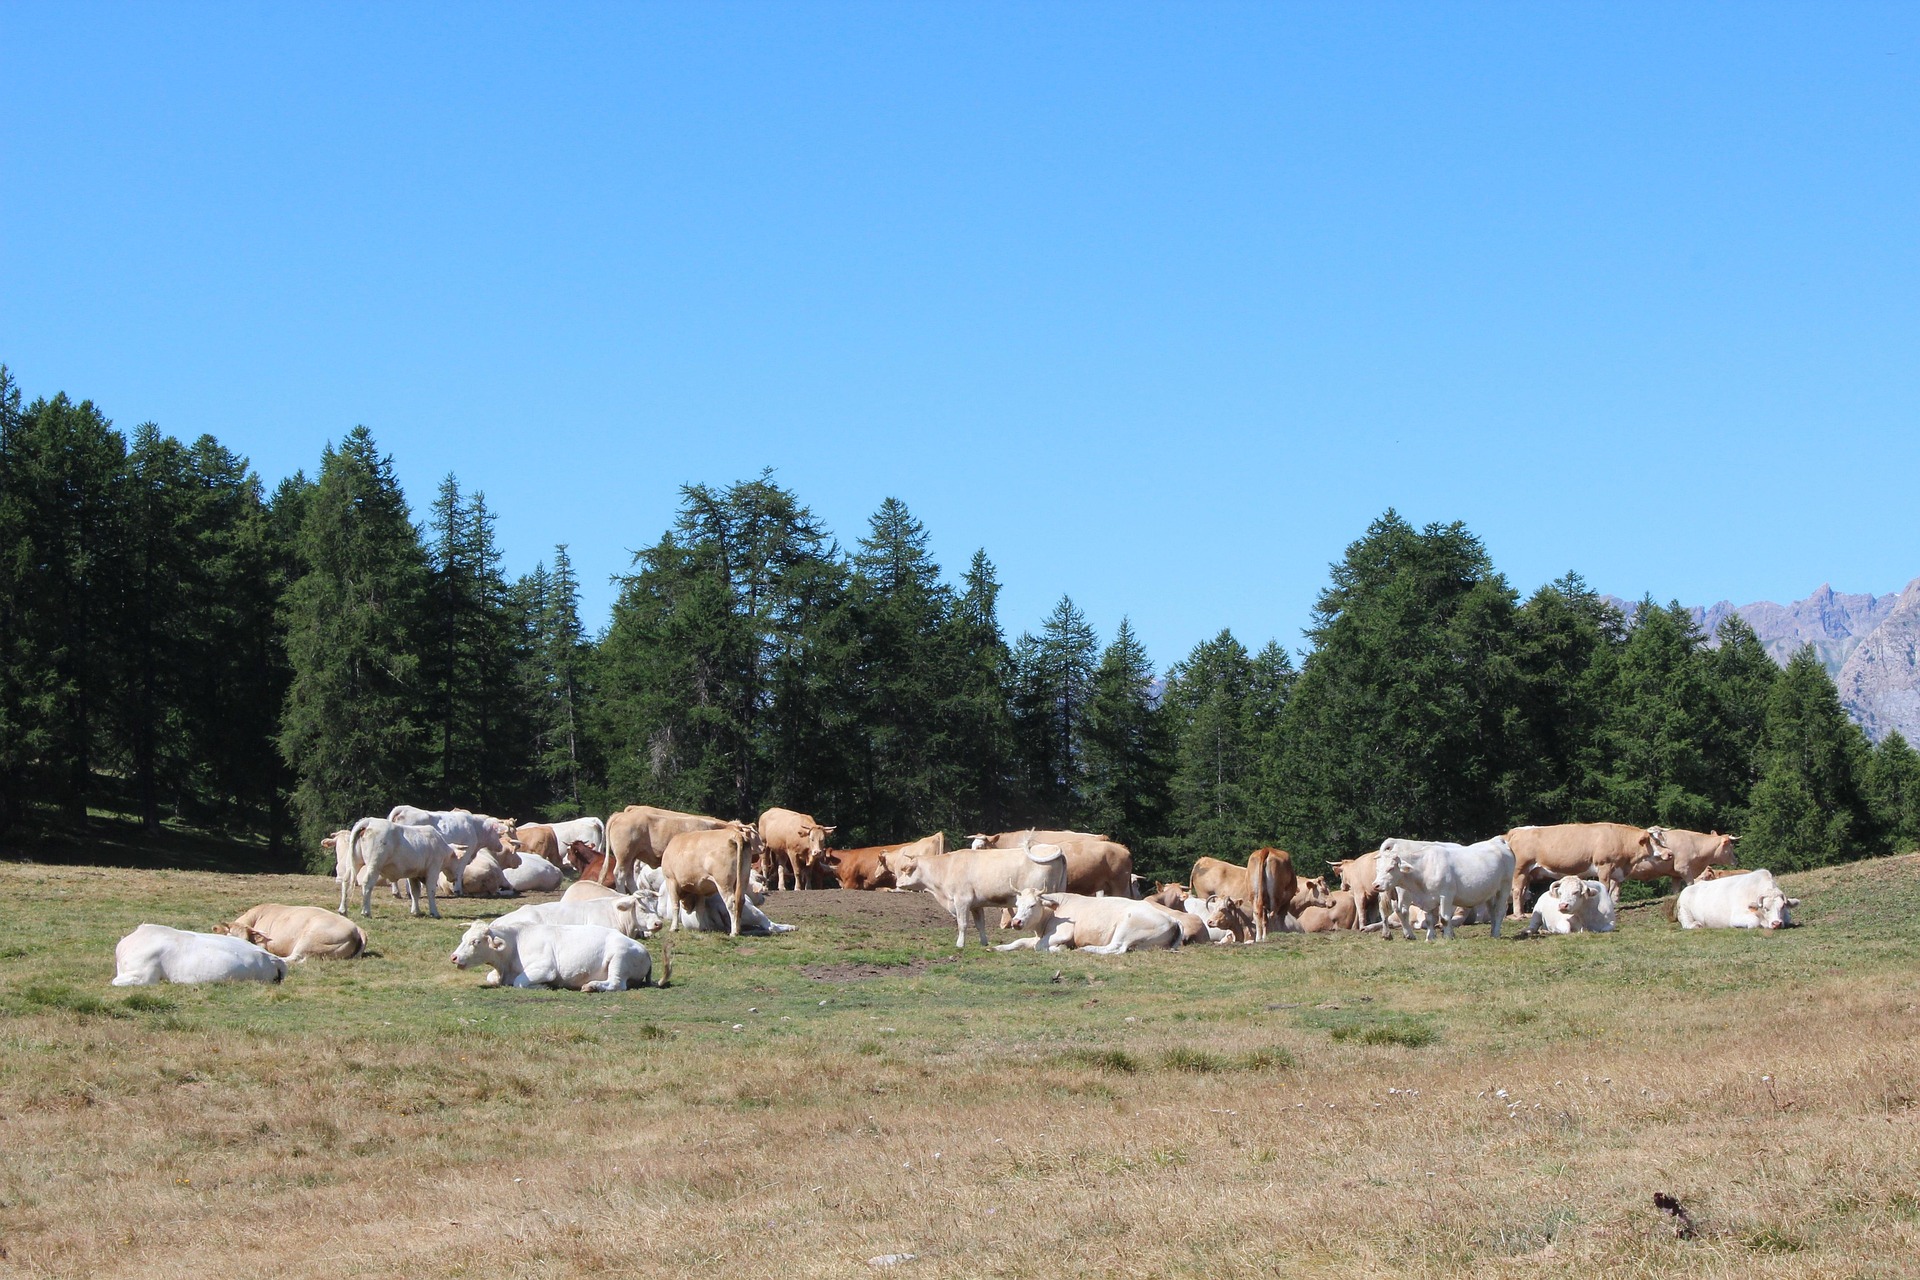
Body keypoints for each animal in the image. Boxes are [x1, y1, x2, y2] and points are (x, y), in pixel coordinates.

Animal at [451, 920, 662, 990]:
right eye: (463, 938)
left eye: (475, 941)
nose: (453, 957)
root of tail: (644, 951)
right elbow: (491, 978)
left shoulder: (546, 968)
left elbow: (520, 982)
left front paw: (544, 986)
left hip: (619, 958)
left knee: (617, 984)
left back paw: (591, 986)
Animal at [891, 844, 1069, 948]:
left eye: (905, 869)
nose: (898, 883)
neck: (947, 867)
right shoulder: (976, 905)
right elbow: (980, 924)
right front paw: (984, 943)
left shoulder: (962, 901)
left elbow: (962, 924)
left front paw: (960, 944)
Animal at [993, 888, 1183, 954]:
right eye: (1018, 905)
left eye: (1032, 905)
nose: (1016, 922)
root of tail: (1172, 918)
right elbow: (1019, 941)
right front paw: (999, 947)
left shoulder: (1063, 933)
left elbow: (1039, 946)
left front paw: (1059, 948)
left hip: (1125, 927)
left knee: (1116, 948)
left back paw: (1086, 948)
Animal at [1373, 836, 1515, 942]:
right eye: (1378, 869)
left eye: (1391, 868)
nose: (1376, 885)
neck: (1424, 868)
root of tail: (1498, 840)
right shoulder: (1428, 899)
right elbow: (1429, 919)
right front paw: (1430, 937)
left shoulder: (1446, 896)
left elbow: (1445, 918)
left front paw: (1447, 936)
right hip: (1491, 892)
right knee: (1492, 912)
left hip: (1505, 886)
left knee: (1499, 911)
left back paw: (1496, 933)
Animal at [1505, 823, 1655, 912]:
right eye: (1656, 840)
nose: (1665, 853)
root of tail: (1516, 832)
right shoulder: (1604, 865)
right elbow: (1605, 887)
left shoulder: (1616, 871)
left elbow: (1614, 889)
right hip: (1520, 869)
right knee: (1517, 891)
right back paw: (1519, 915)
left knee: (1523, 891)